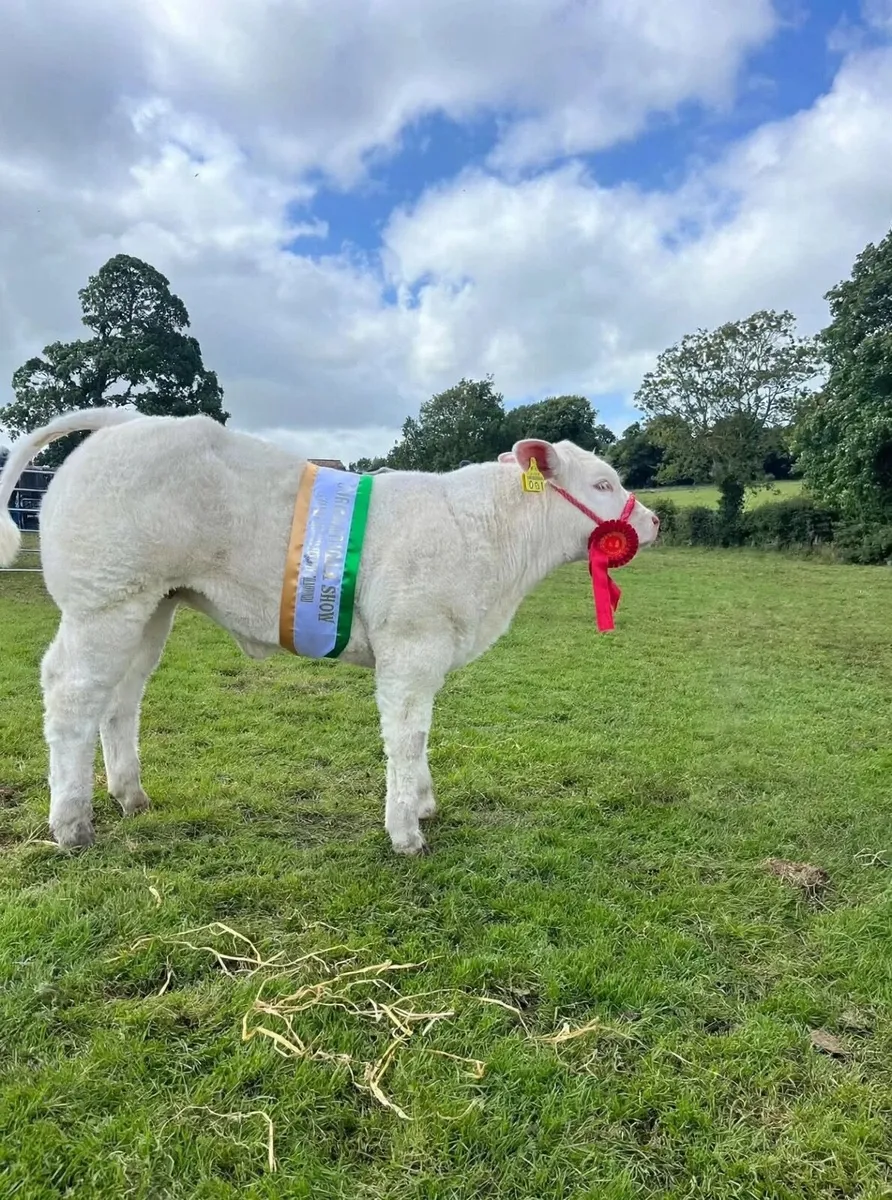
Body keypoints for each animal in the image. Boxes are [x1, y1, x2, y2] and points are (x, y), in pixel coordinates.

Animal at [0, 408, 659, 855]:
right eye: (603, 483)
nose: (652, 521)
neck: (488, 542)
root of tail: (124, 421)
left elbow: (421, 733)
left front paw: (423, 805)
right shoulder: (411, 644)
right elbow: (406, 736)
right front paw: (406, 831)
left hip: (151, 606)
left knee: (121, 698)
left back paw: (130, 797)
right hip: (104, 599)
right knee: (70, 693)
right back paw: (71, 824)